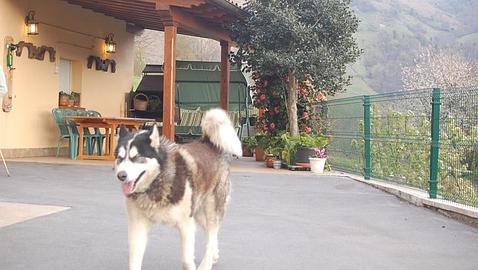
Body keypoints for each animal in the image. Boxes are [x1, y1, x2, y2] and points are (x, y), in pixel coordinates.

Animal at [115, 108, 241, 270]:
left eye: (136, 158)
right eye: (120, 158)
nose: (121, 175)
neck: (158, 181)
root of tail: (208, 142)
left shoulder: (186, 225)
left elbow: (186, 260)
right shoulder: (137, 226)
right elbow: (134, 260)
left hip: (211, 208)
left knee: (212, 234)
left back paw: (206, 263)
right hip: (198, 211)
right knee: (211, 233)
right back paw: (214, 255)